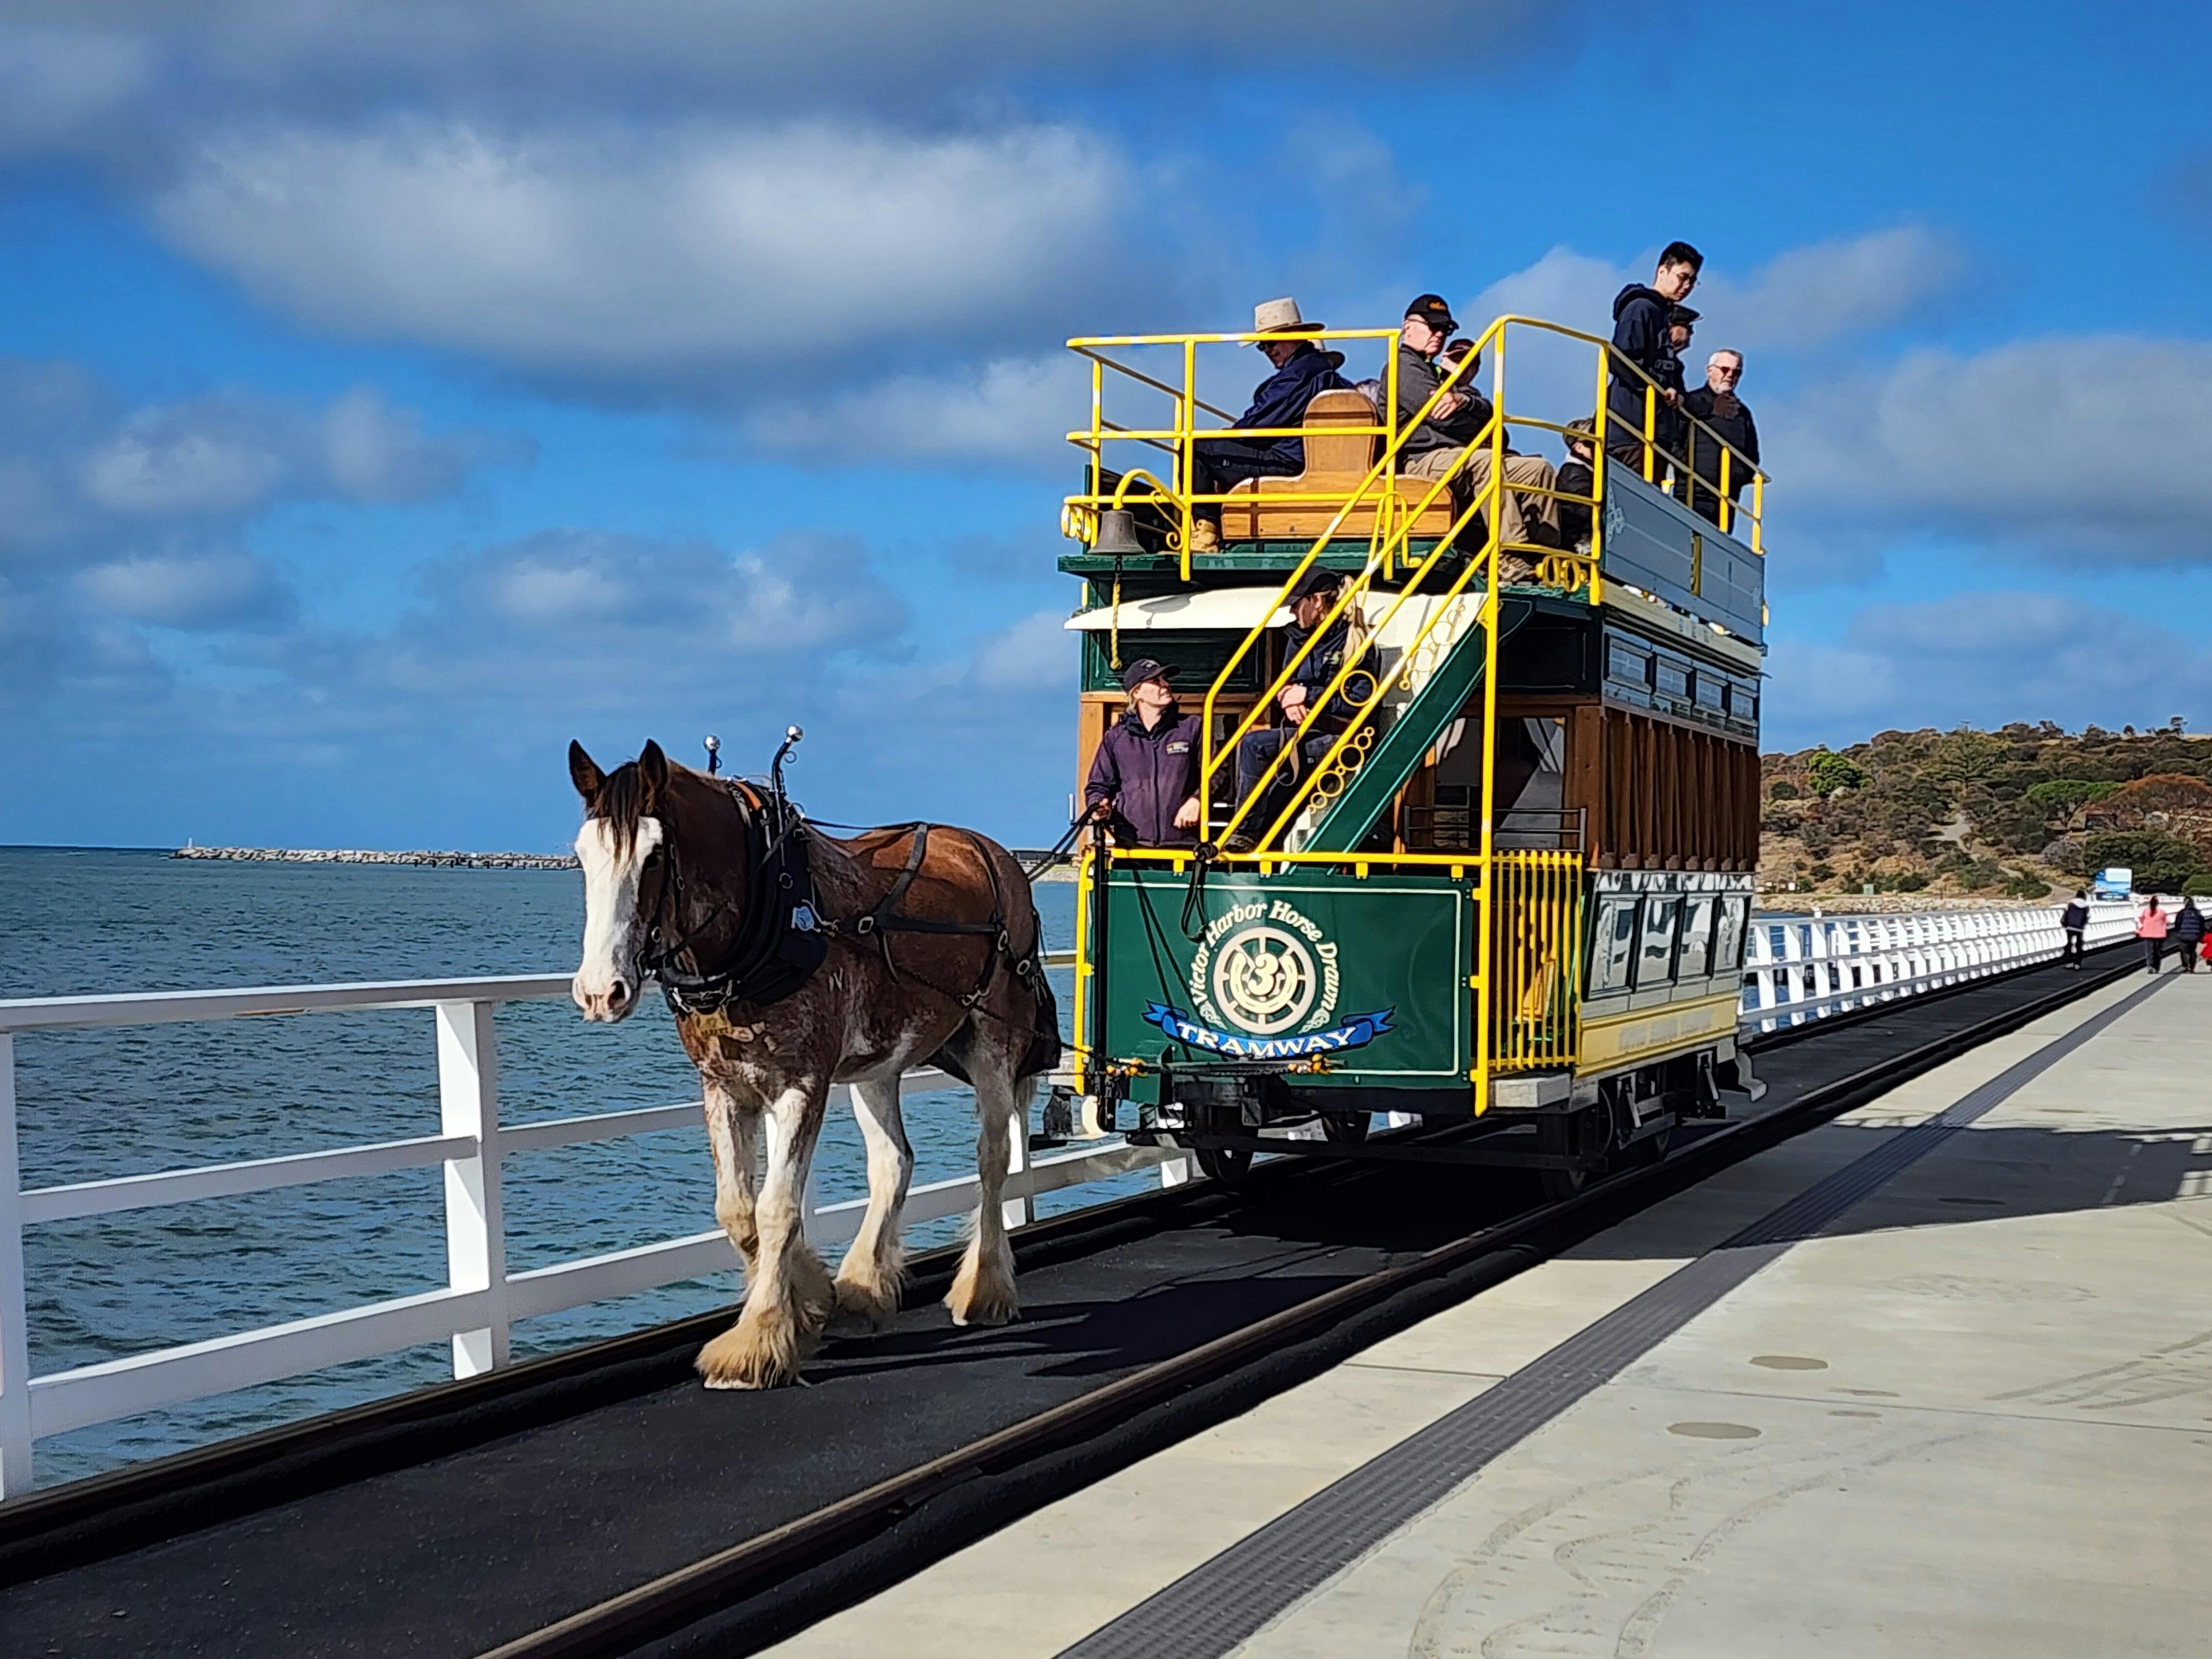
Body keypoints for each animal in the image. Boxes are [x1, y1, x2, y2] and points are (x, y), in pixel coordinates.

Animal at [566, 738, 1060, 1389]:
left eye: (652, 857)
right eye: (581, 856)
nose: (601, 991)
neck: (768, 912)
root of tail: (999, 858)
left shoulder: (802, 1083)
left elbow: (777, 1208)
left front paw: (756, 1342)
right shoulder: (724, 1086)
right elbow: (737, 1210)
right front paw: (807, 1300)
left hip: (994, 1042)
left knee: (993, 1159)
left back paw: (984, 1288)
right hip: (879, 1062)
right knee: (893, 1162)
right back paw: (863, 1287)